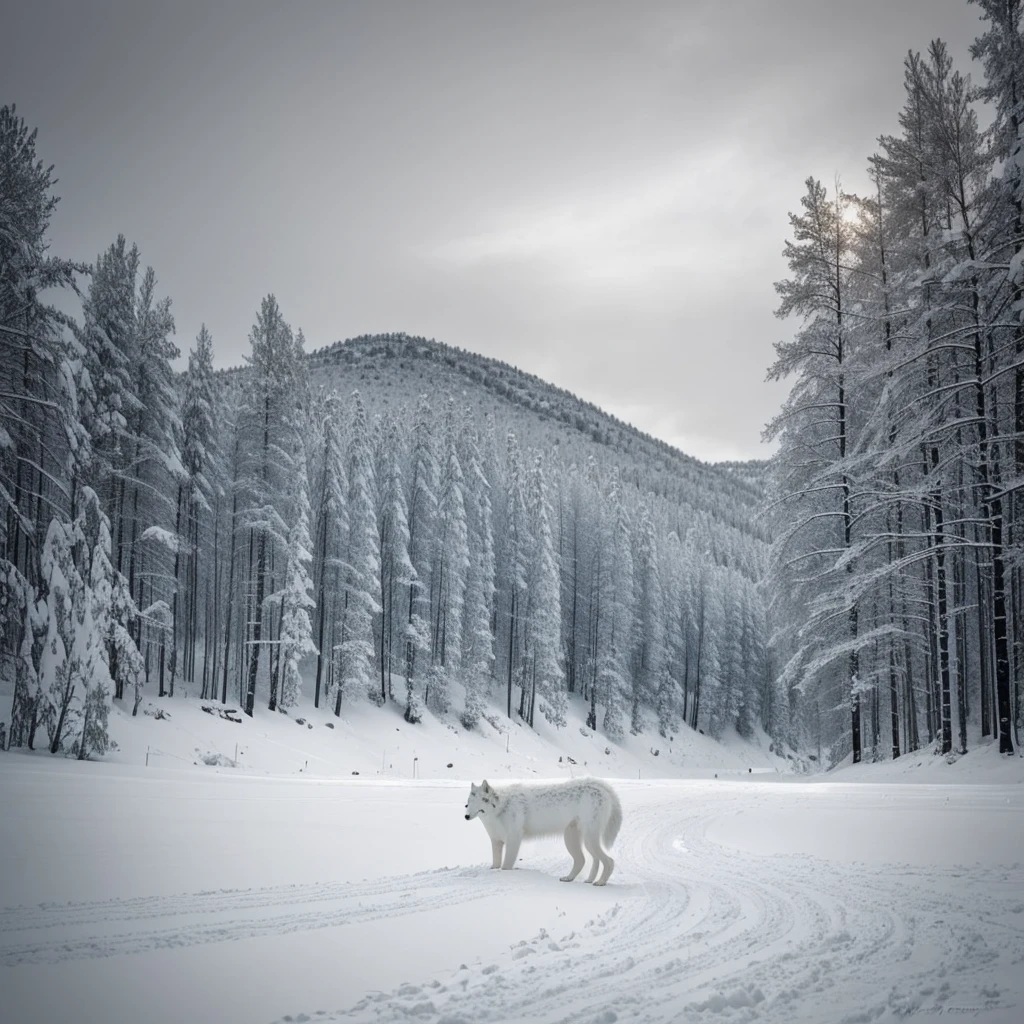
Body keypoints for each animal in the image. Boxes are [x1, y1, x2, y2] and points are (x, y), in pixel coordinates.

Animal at [466, 778, 622, 884]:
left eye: (483, 799)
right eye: (468, 803)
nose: (466, 816)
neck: (501, 808)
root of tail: (600, 786)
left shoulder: (514, 840)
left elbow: (505, 867)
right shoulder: (496, 841)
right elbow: (495, 865)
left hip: (589, 839)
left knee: (609, 861)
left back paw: (600, 882)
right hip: (574, 839)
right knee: (584, 860)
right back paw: (574, 879)